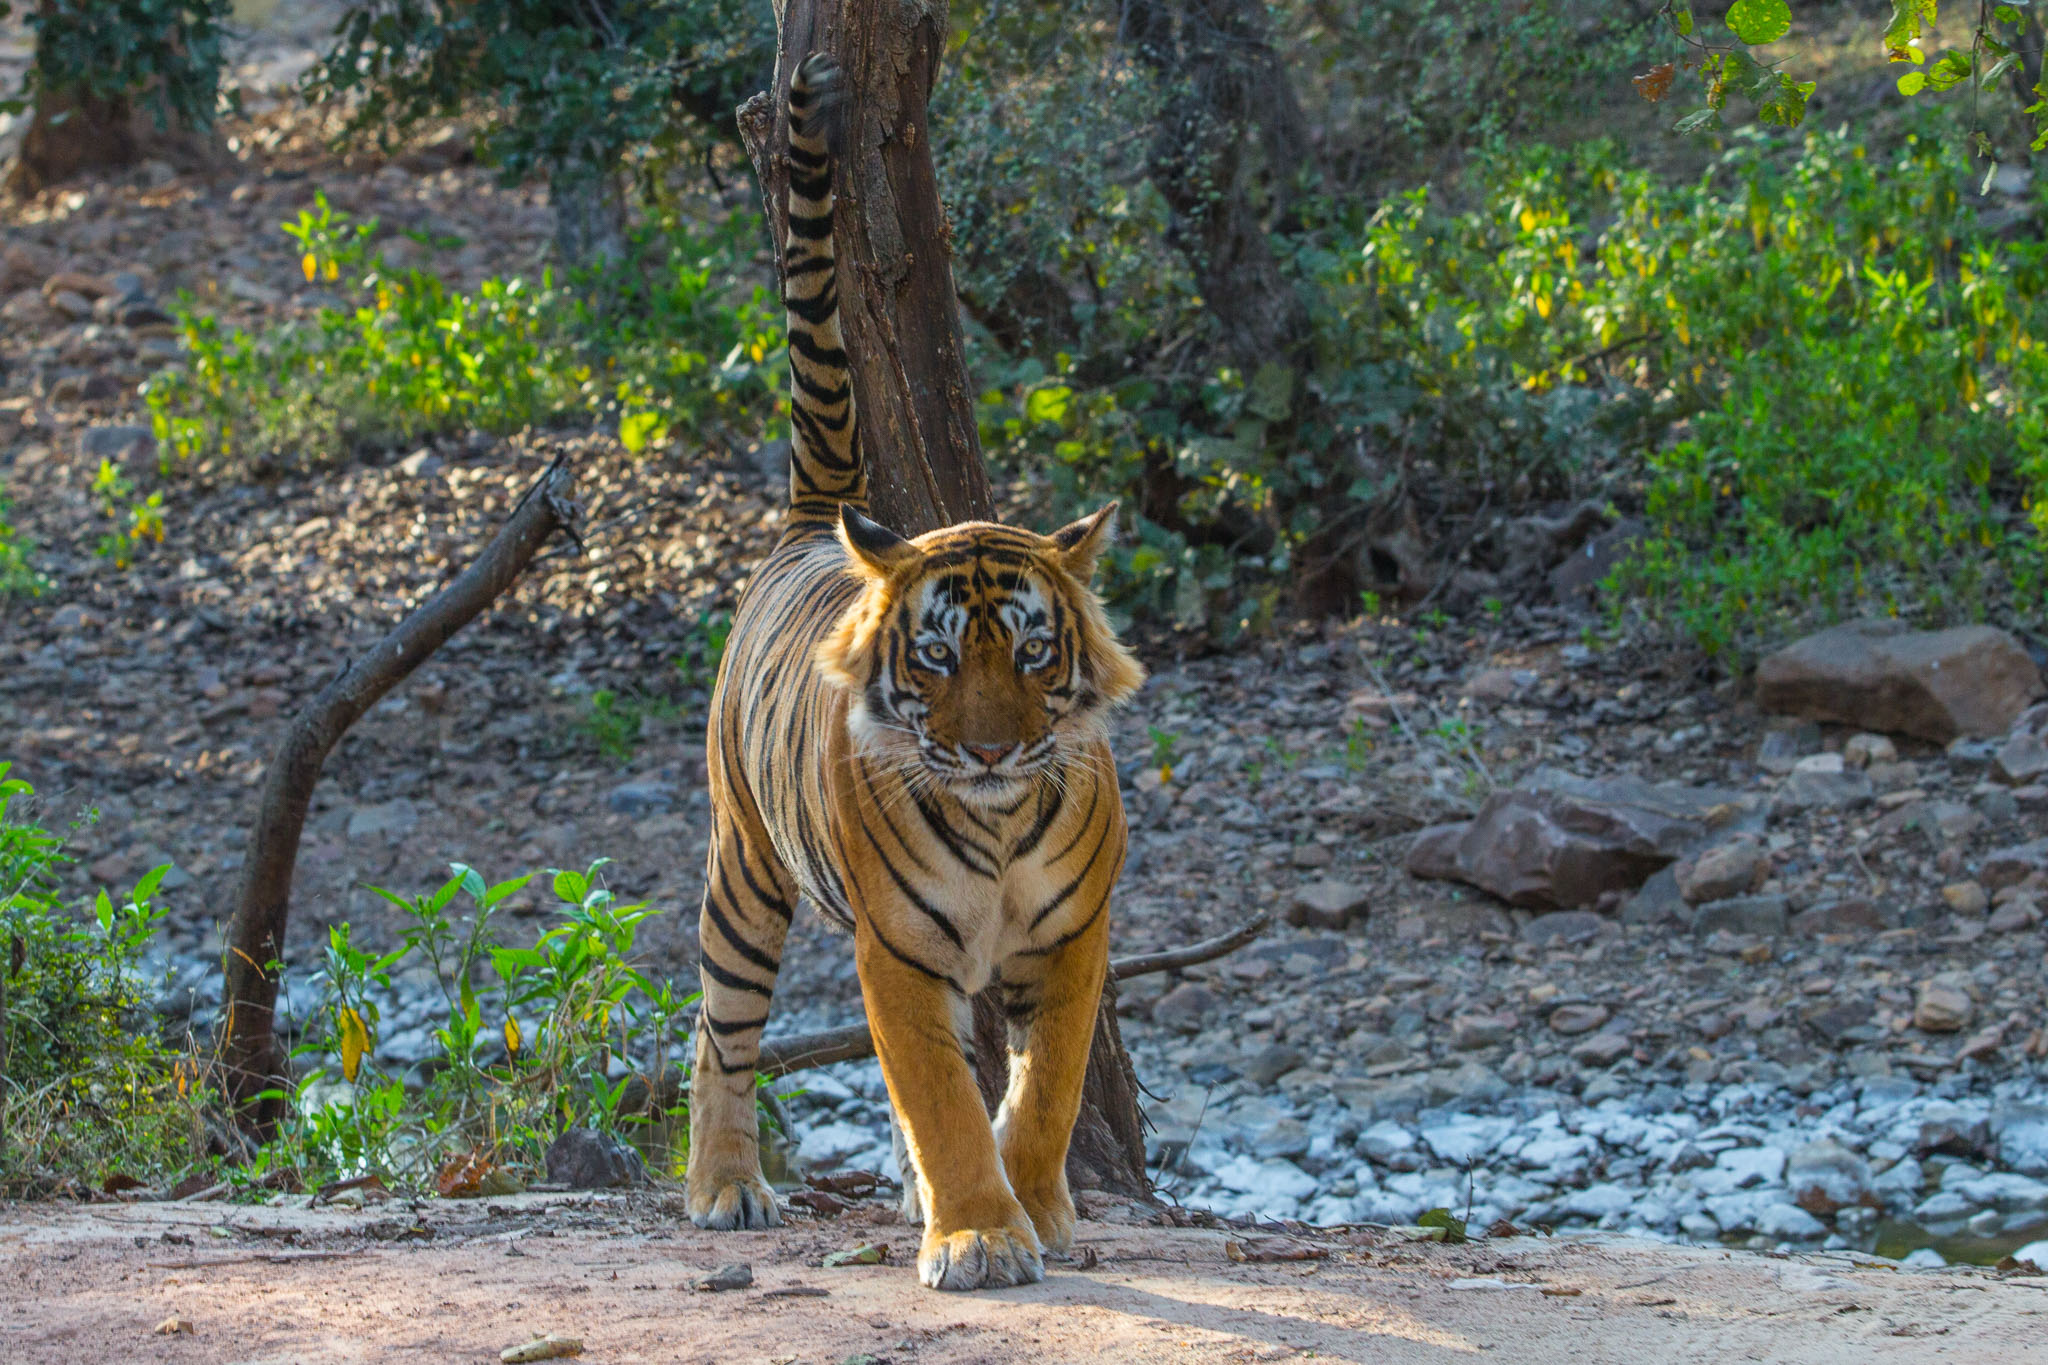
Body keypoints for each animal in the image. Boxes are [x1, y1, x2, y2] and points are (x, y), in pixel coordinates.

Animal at [682, 52, 1146, 1291]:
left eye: (1032, 650)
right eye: (935, 657)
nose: (986, 749)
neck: (997, 821)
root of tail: (811, 524)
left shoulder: (1071, 941)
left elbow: (1039, 1094)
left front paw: (1037, 1212)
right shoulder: (894, 948)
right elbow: (940, 1099)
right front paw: (978, 1235)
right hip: (742, 873)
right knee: (720, 1032)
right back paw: (725, 1189)